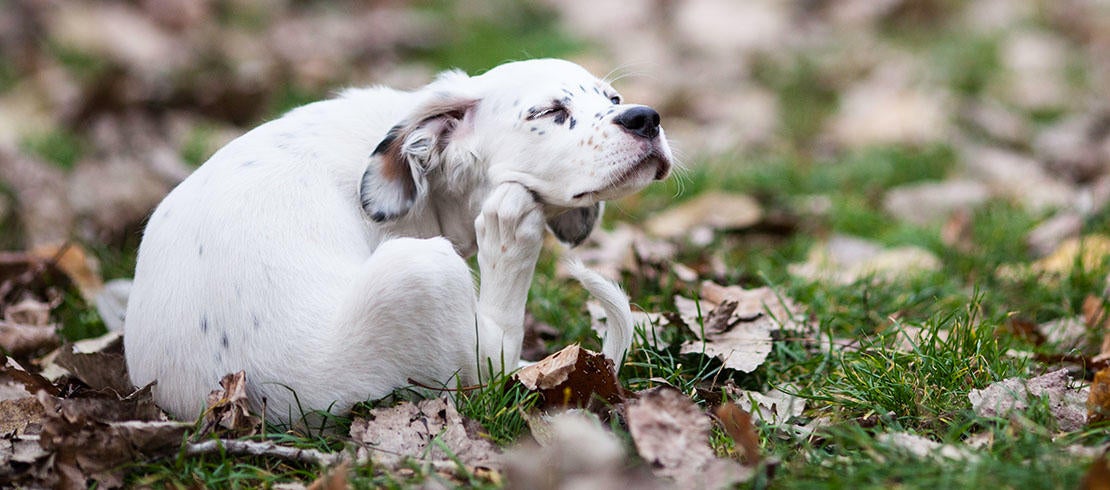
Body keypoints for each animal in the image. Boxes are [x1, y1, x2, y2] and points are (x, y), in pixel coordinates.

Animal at [124, 59, 670, 422]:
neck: (430, 181)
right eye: (550, 111)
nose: (645, 118)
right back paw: (510, 229)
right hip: (422, 272)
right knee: (496, 354)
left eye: (614, 100)